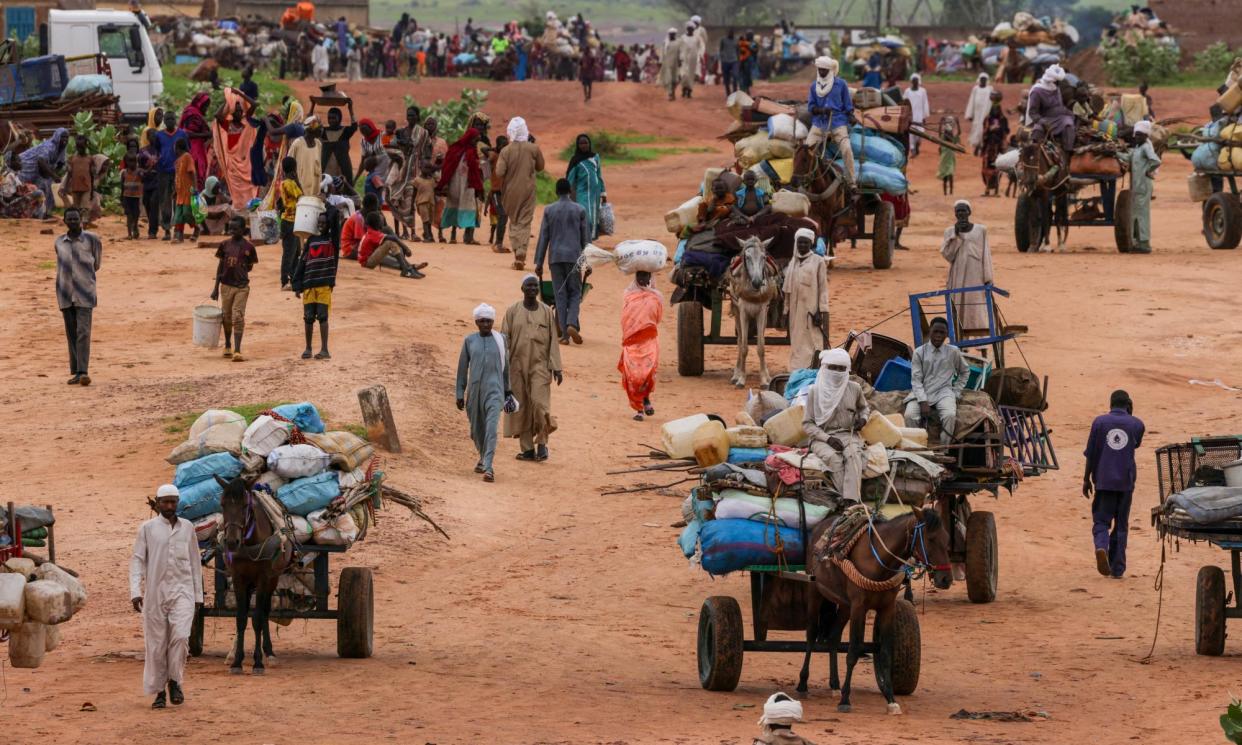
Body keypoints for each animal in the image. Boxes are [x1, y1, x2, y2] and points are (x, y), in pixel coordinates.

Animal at [214, 476, 291, 675]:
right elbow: (241, 618)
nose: (231, 542)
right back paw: (234, 653)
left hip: (273, 579)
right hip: (249, 583)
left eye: (245, 506)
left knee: (264, 612)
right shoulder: (238, 578)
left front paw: (258, 662)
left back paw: (269, 653)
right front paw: (236, 662)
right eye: (222, 504)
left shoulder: (263, 578)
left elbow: (257, 618)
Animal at [725, 237, 779, 389]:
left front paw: (765, 380)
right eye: (747, 257)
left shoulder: (762, 312)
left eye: (764, 257)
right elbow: (743, 346)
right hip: (736, 311)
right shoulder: (743, 312)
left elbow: (761, 346)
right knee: (739, 340)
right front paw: (741, 379)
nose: (757, 281)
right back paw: (736, 374)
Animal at [794, 509, 948, 715]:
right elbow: (853, 652)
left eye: (947, 538)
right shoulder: (859, 607)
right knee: (811, 635)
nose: (946, 579)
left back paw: (834, 685)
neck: (878, 561)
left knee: (833, 638)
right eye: (930, 539)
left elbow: (885, 654)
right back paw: (803, 683)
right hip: (815, 593)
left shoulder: (887, 608)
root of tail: (820, 526)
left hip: (844, 606)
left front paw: (891, 699)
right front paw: (845, 699)